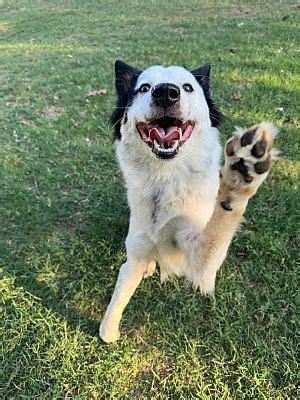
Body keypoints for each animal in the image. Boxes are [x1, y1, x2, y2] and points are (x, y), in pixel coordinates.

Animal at [99, 61, 278, 342]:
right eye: (143, 88)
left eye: (187, 87)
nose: (165, 92)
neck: (165, 179)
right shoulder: (135, 252)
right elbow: (114, 307)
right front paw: (110, 331)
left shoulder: (201, 265)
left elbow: (219, 227)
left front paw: (241, 173)